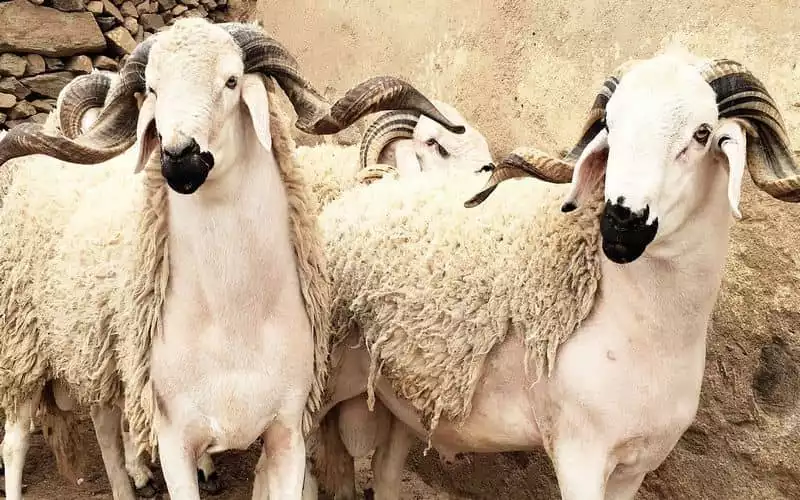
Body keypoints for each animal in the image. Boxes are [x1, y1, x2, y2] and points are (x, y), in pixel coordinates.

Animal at [0, 18, 465, 500]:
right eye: (153, 88)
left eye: (231, 80)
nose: (178, 158)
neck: (234, 322)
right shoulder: (174, 439)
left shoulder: (288, 435)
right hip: (22, 341)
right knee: (17, 440)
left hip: (92, 346)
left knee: (105, 421)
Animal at [306, 49, 800, 500]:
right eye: (611, 127)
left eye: (702, 134)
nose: (621, 220)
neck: (646, 326)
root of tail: (364, 191)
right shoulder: (580, 453)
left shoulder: (635, 464)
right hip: (324, 377)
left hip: (409, 396)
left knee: (386, 473)